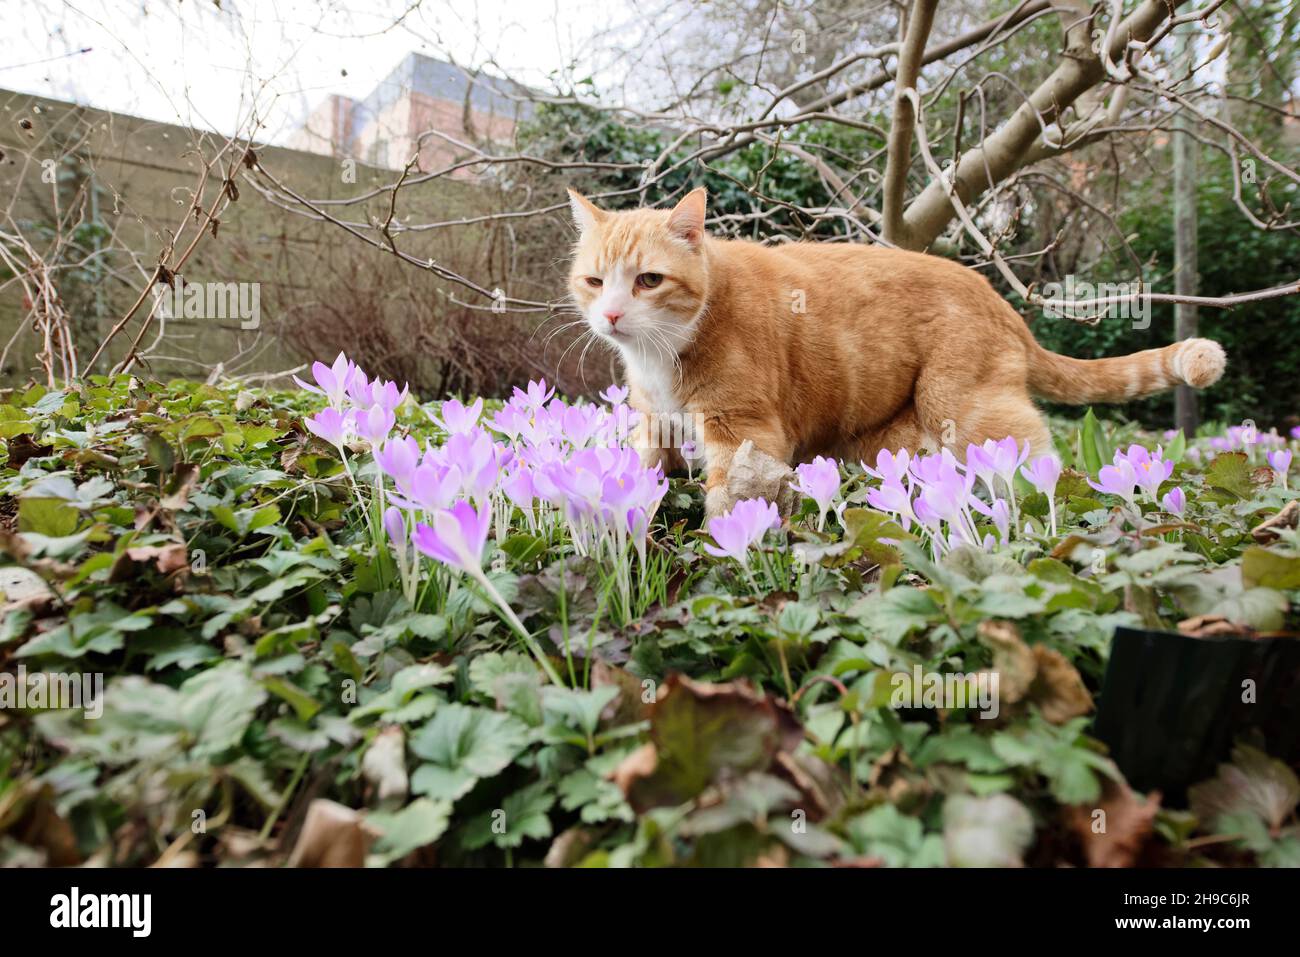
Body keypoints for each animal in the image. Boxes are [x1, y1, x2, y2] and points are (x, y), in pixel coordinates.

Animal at [566, 187, 1227, 514]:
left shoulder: (743, 429)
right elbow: (640, 467)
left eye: (649, 280)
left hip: (964, 409)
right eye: (595, 282)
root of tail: (997, 298)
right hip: (890, 444)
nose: (612, 315)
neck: (663, 351)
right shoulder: (654, 422)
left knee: (1035, 457)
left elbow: (730, 499)